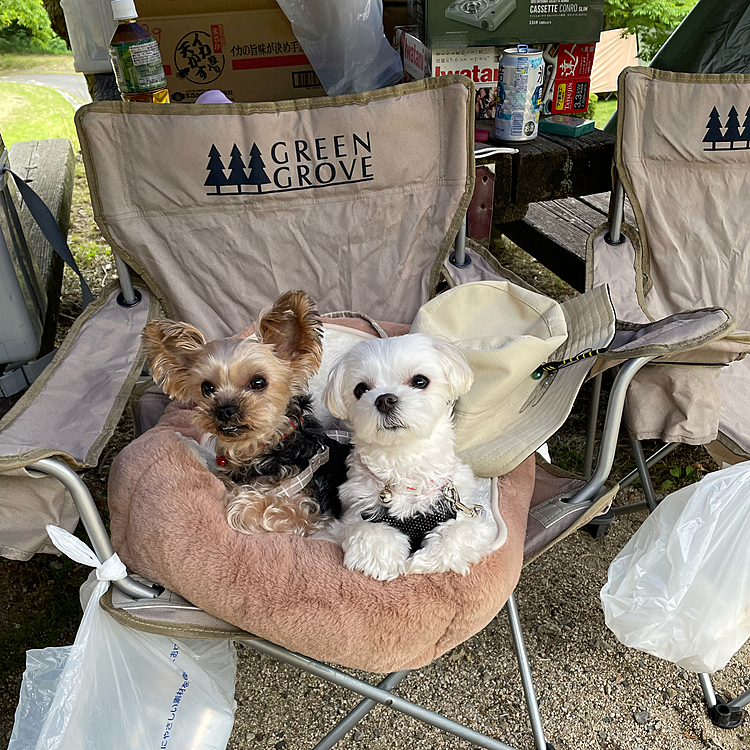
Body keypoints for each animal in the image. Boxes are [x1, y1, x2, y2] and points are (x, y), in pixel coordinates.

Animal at [324, 334, 500, 580]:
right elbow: (368, 531)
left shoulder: (463, 514)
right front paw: (381, 561)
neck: (405, 463)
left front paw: (423, 563)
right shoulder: (354, 514)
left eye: (419, 381)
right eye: (360, 389)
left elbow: (459, 533)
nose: (384, 399)